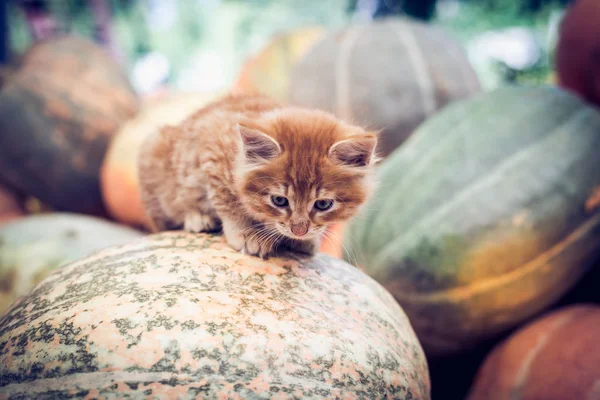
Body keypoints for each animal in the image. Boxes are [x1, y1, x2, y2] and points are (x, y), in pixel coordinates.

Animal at [138, 92, 378, 258]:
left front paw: (307, 240)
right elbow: (229, 203)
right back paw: (197, 218)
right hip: (153, 151)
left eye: (323, 204)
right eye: (279, 200)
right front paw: (247, 234)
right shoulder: (212, 154)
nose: (299, 230)